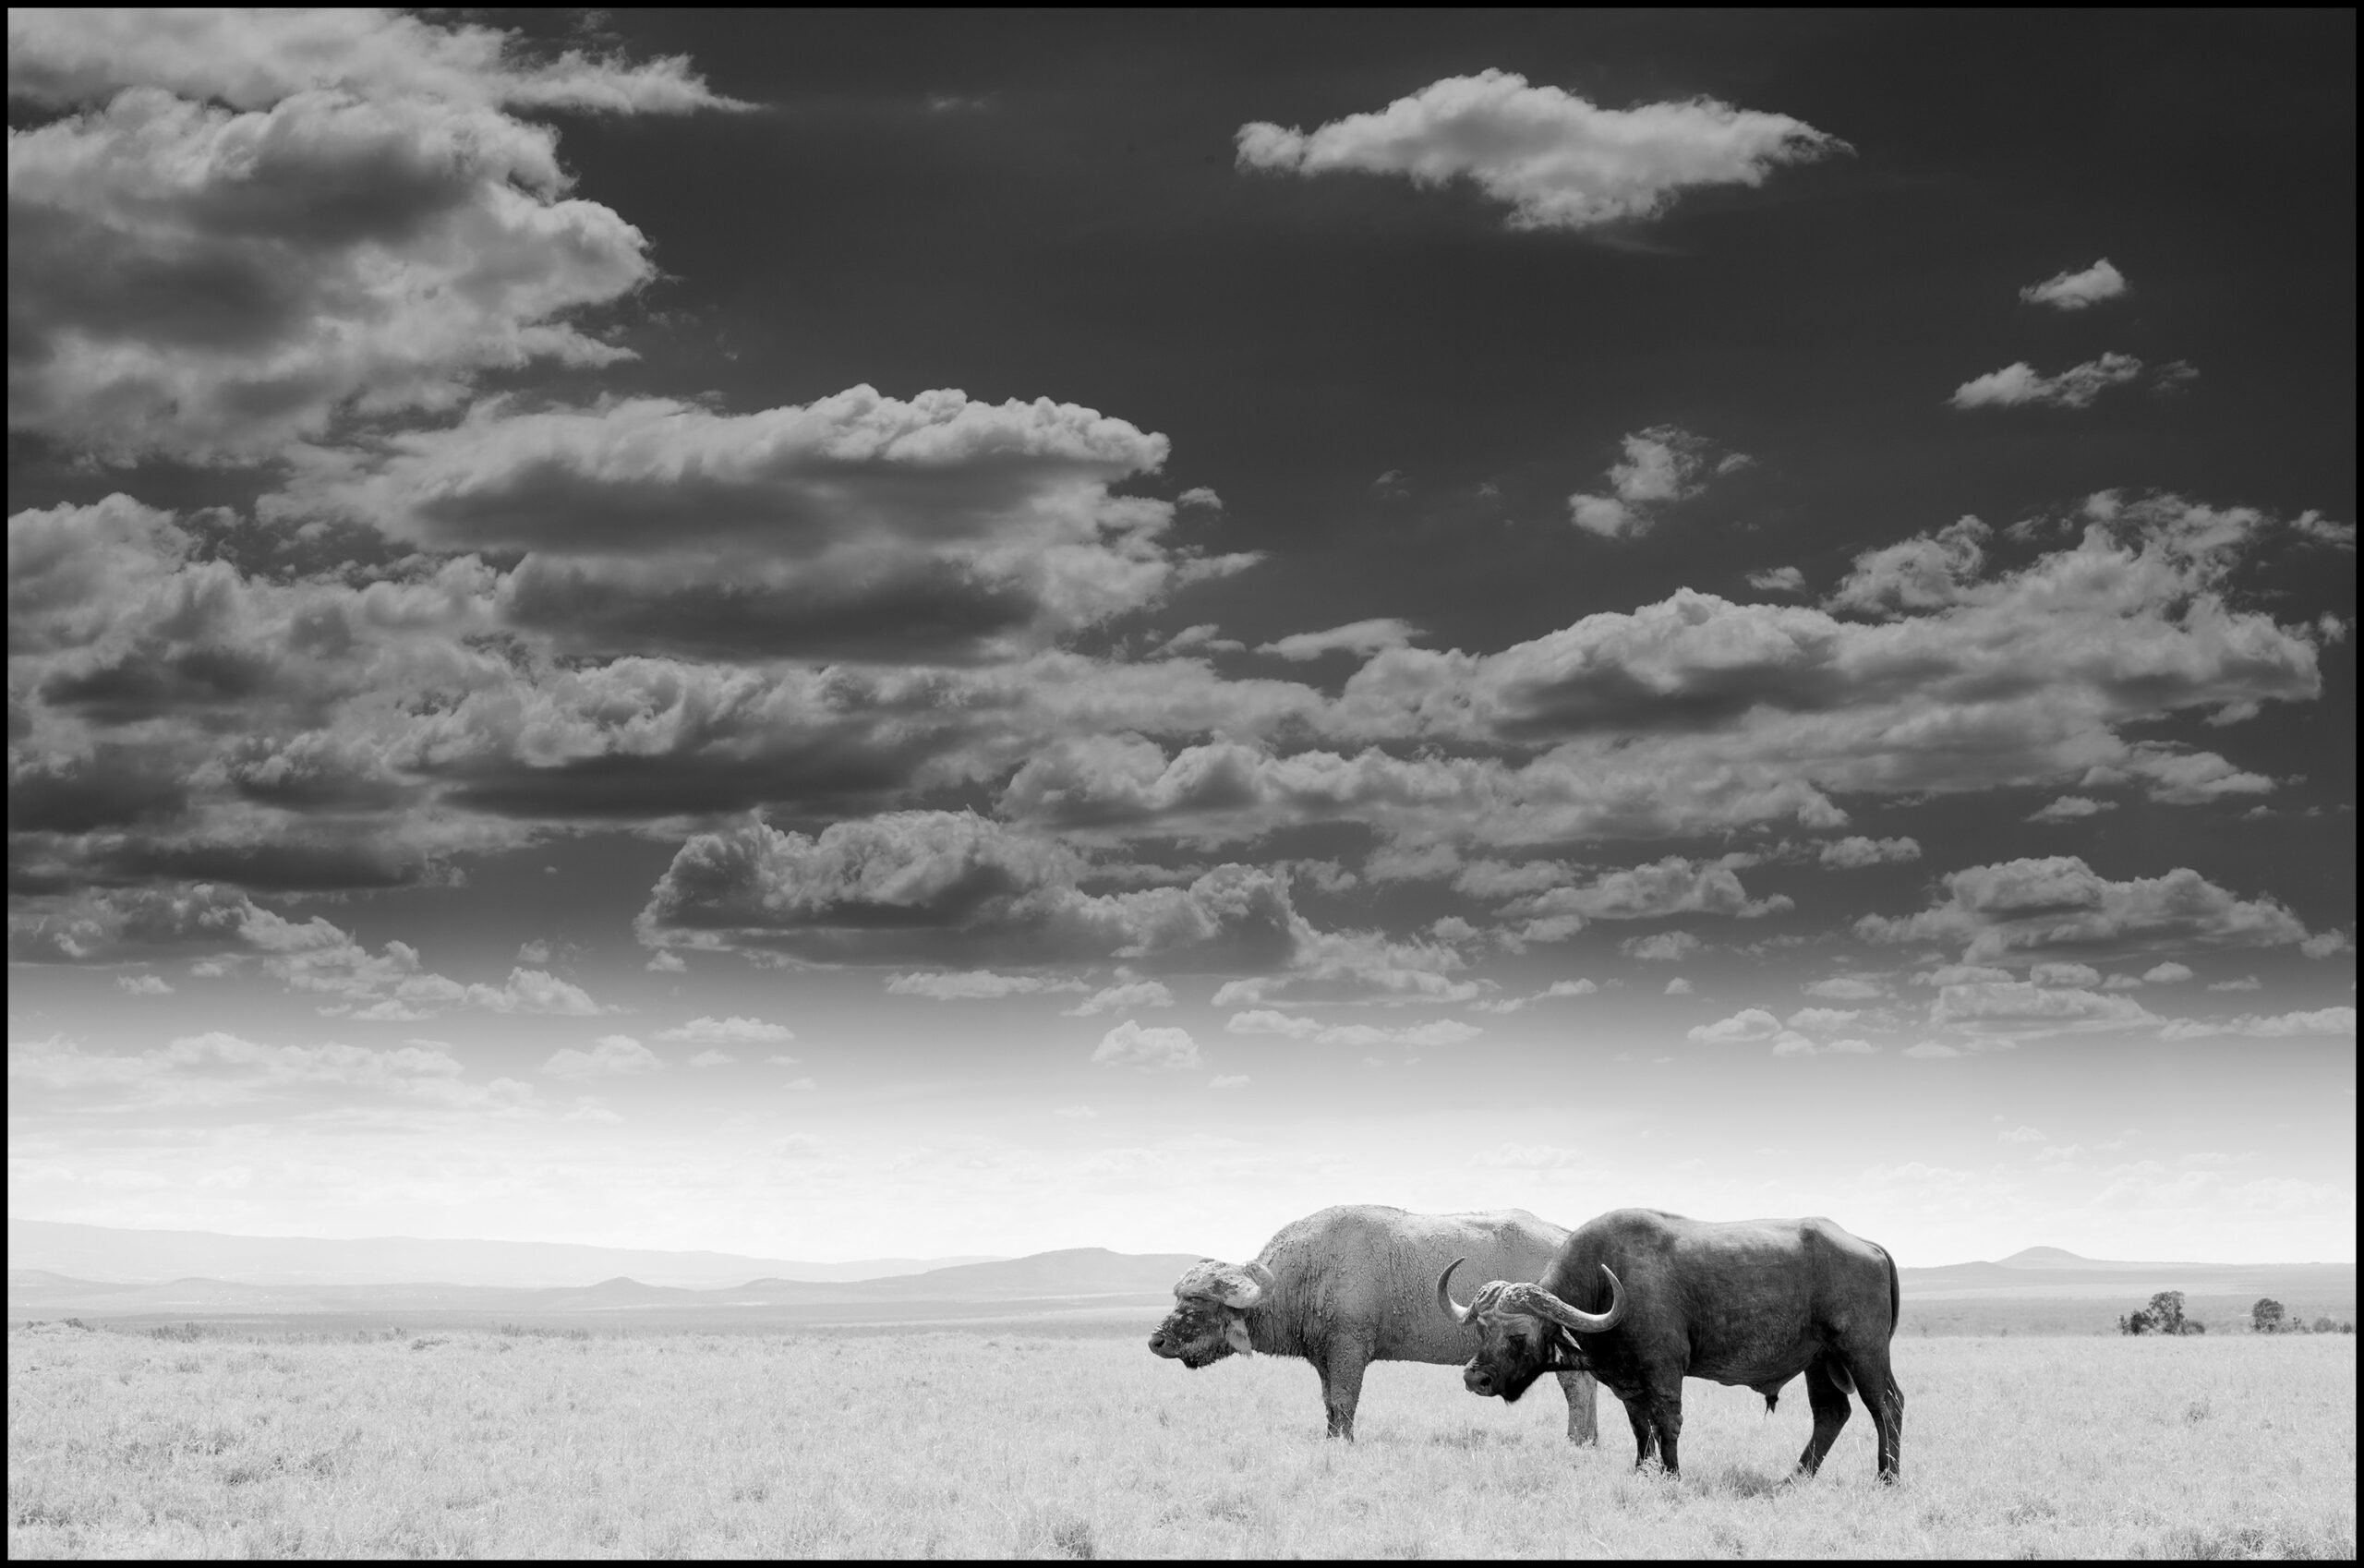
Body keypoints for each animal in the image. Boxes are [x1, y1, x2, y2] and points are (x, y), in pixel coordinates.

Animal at [1149, 1204, 1599, 1442]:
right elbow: (1330, 1403)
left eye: (1199, 1306)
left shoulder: (1349, 1349)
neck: (1311, 1272)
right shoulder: (1324, 1357)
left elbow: (1346, 1400)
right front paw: (1332, 1440)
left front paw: (1345, 1443)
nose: (1156, 1341)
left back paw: (1577, 1442)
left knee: (1578, 1387)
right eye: (1180, 1298)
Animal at [1439, 1208, 1902, 1480]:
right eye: (1481, 1329)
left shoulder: (1664, 1372)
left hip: (1863, 1352)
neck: (1607, 1288)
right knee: (1831, 1414)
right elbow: (1640, 1427)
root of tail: (1868, 1247)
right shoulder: (1626, 1383)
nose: (1474, 1378)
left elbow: (1668, 1423)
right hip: (1819, 1362)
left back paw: (1888, 1477)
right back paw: (1794, 1478)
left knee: (1886, 1406)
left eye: (1518, 1335)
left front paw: (1672, 1474)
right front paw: (1642, 1470)